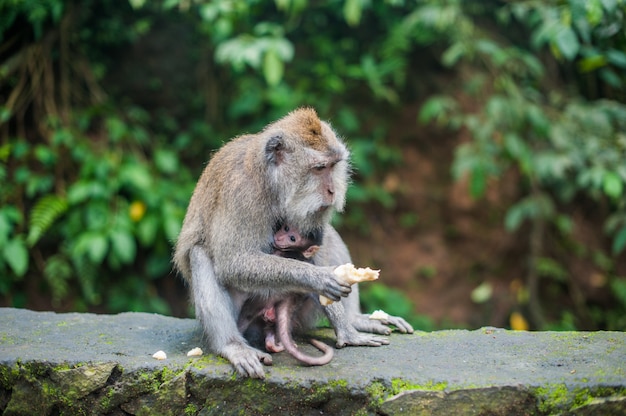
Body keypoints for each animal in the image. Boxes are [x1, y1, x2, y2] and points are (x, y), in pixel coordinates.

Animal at [173, 106, 412, 376]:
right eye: (319, 168)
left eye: (333, 166)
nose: (332, 191)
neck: (271, 183)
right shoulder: (243, 194)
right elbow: (233, 262)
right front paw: (319, 278)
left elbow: (318, 242)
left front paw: (346, 328)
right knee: (200, 254)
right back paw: (232, 345)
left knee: (331, 236)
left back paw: (353, 321)